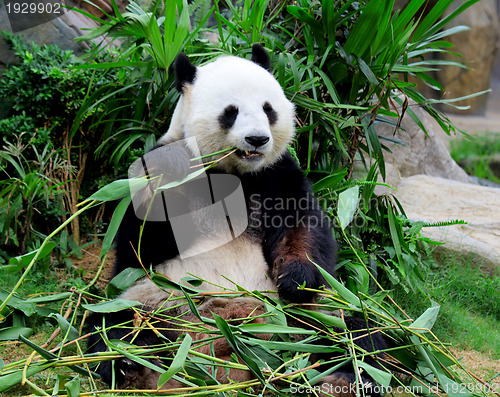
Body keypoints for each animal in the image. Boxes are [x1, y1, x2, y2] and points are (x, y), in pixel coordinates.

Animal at [89, 44, 386, 392]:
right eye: (230, 112)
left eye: (268, 109)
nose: (257, 139)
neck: (234, 173)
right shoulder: (153, 175)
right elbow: (140, 244)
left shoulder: (277, 175)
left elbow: (303, 227)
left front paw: (295, 278)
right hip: (156, 300)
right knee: (113, 327)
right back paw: (129, 364)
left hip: (310, 317)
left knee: (357, 335)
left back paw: (345, 376)